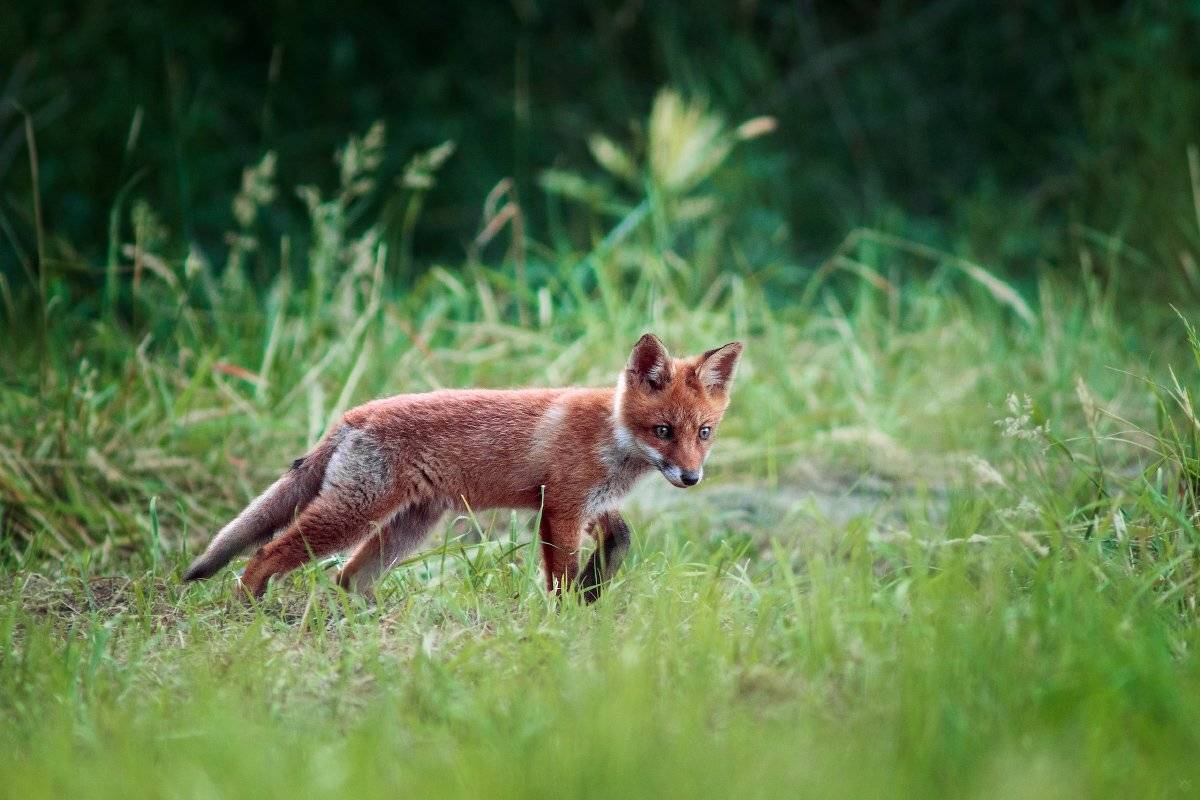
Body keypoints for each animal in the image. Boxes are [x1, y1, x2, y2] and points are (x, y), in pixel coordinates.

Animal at [182, 333, 743, 602]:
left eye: (703, 433)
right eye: (663, 431)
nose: (691, 478)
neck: (613, 437)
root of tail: (354, 413)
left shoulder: (590, 505)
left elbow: (621, 539)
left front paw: (593, 590)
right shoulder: (561, 508)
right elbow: (560, 576)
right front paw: (567, 617)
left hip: (409, 527)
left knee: (347, 577)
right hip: (353, 514)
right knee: (270, 551)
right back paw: (249, 607)